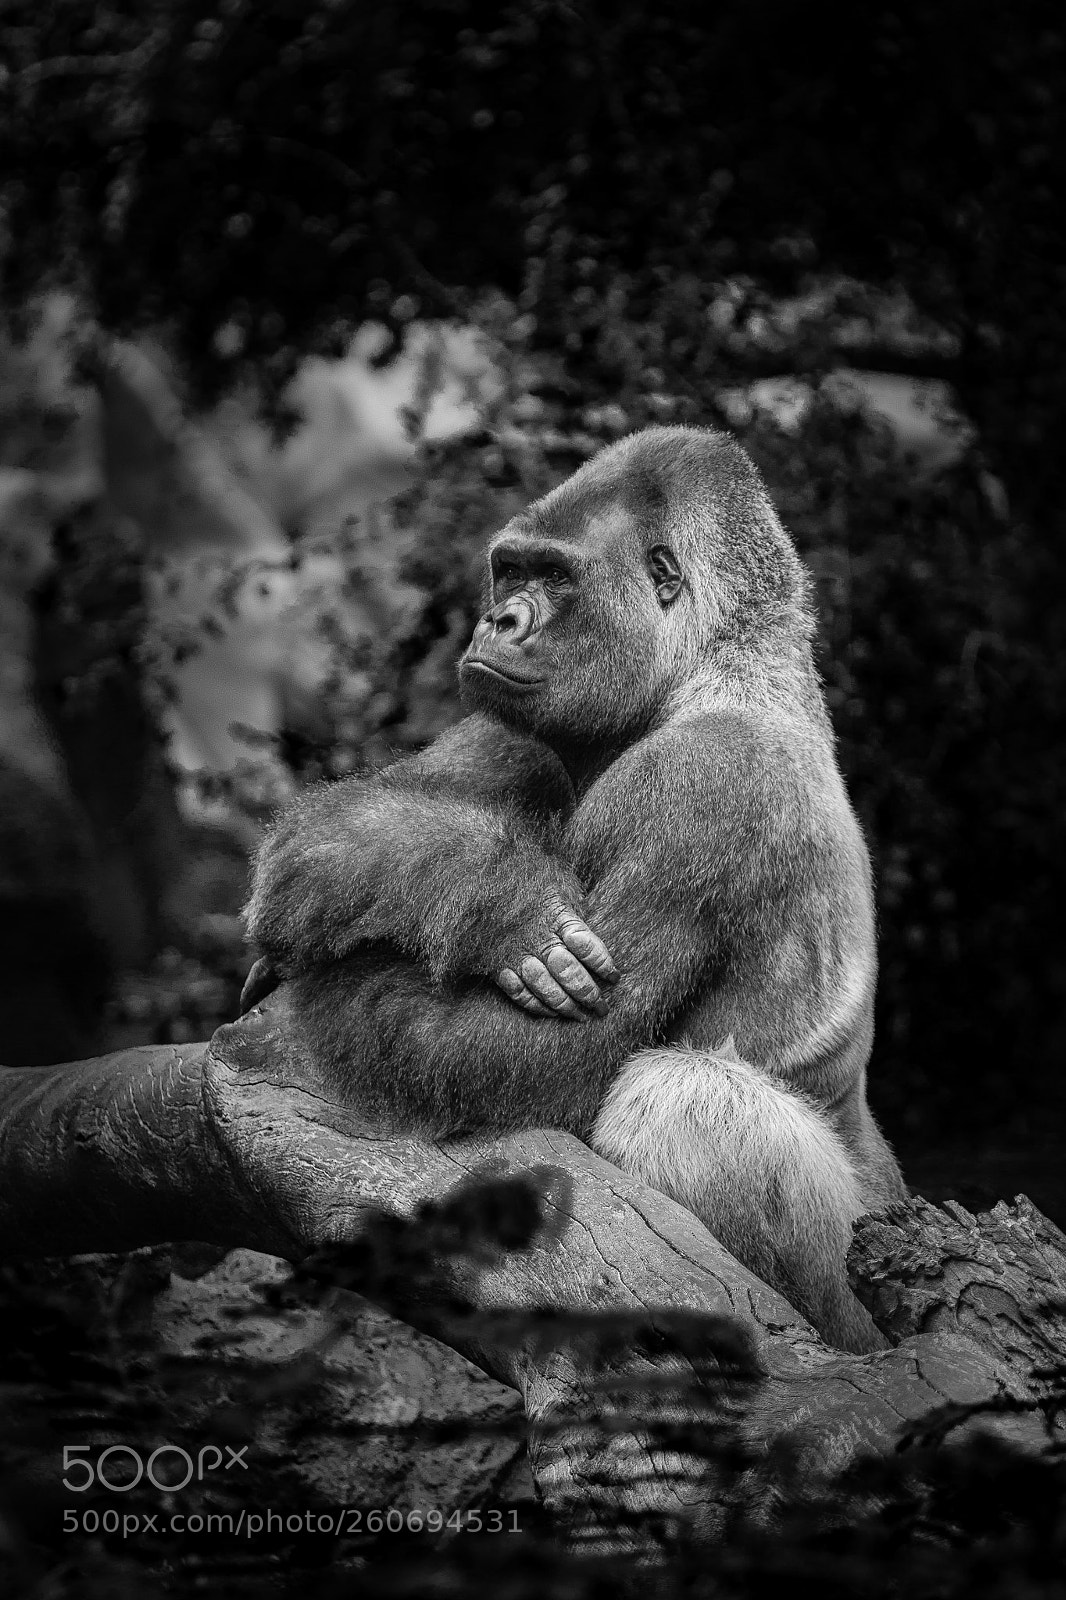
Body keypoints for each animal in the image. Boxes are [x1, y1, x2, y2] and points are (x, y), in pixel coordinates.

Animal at [242, 425, 906, 1354]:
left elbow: (517, 1059)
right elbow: (319, 846)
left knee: (679, 1099)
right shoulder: (513, 723)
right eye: (509, 571)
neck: (718, 663)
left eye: (557, 579)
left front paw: (311, 1005)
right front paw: (484, 892)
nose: (499, 620)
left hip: (860, 1281)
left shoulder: (700, 787)